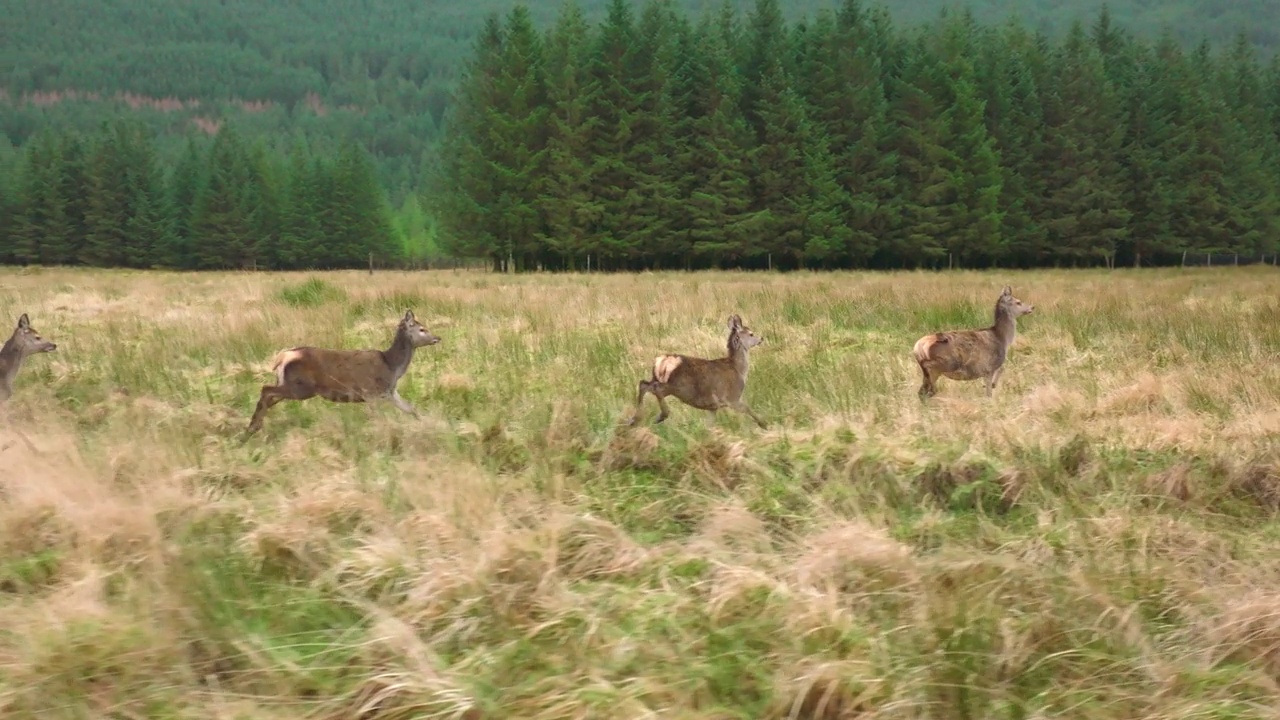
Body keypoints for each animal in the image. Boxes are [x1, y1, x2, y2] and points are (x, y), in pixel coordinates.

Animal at [241, 304, 442, 435]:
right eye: (422, 329)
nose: (437, 338)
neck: (392, 367)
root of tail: (283, 356)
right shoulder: (371, 392)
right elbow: (377, 417)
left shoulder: (389, 392)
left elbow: (411, 408)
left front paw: (427, 424)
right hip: (301, 387)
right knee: (266, 390)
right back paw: (253, 427)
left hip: (290, 383)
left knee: (268, 396)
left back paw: (252, 427)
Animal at [624, 312, 762, 425]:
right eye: (751, 333)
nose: (761, 338)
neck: (738, 369)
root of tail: (661, 361)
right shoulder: (732, 397)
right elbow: (750, 410)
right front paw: (764, 425)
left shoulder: (713, 406)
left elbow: (709, 426)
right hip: (677, 385)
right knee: (655, 388)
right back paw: (661, 416)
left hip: (659, 379)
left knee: (643, 384)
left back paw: (634, 419)